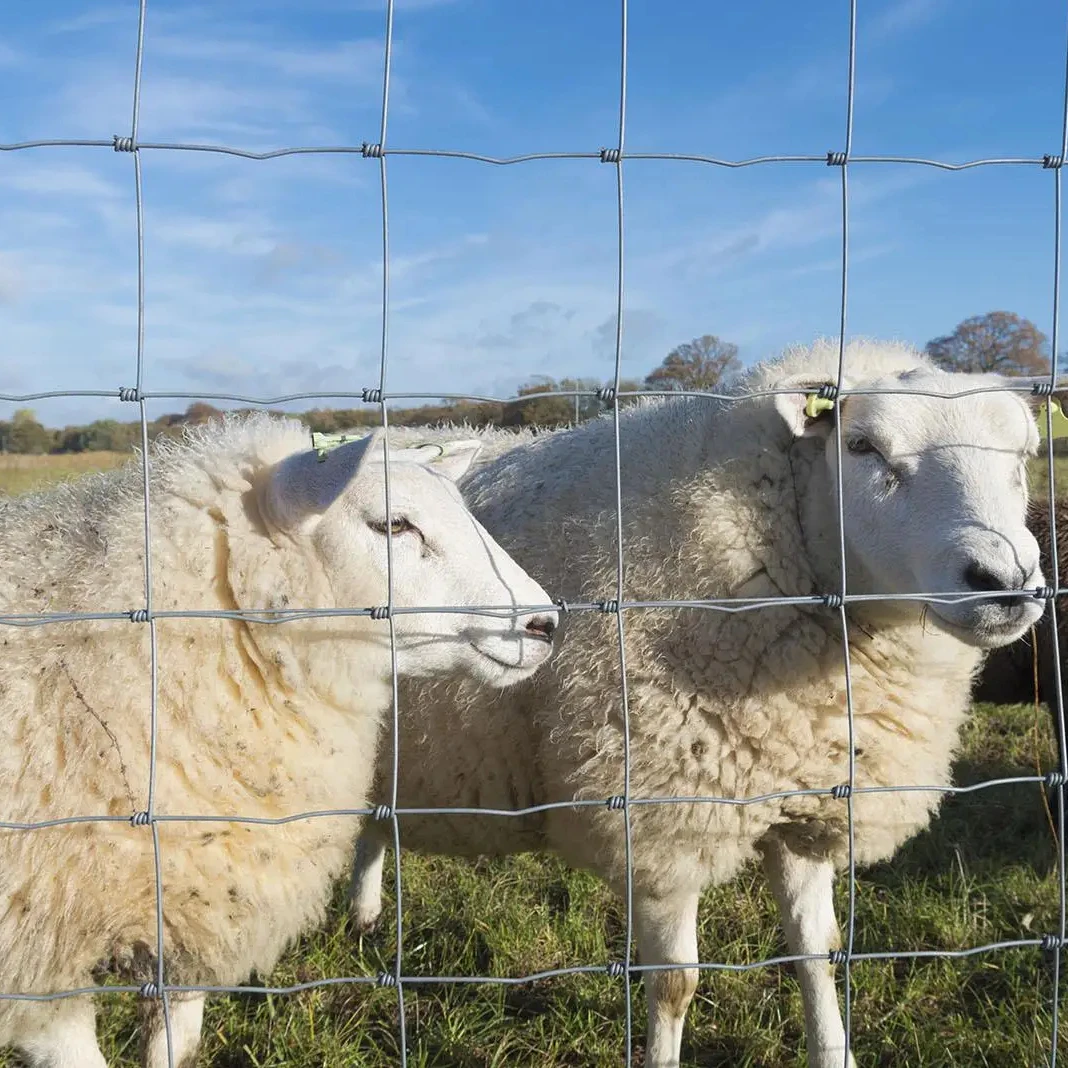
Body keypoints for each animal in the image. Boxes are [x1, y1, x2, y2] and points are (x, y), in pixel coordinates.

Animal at [345, 339, 1047, 1068]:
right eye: (862, 446)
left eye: (1023, 455)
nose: (1006, 581)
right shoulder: (661, 820)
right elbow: (675, 983)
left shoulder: (806, 800)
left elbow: (817, 954)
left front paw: (834, 1050)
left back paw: (365, 915)